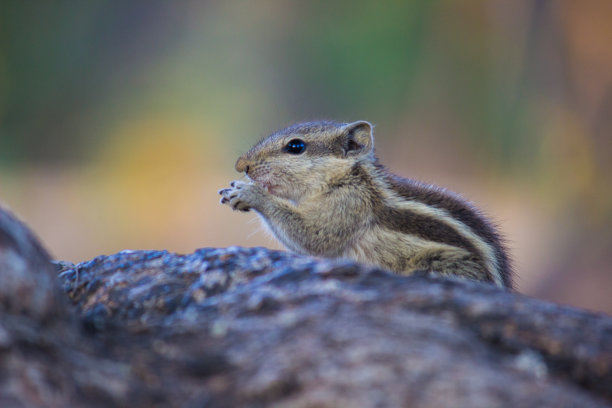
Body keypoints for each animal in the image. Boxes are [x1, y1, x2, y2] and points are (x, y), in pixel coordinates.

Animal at [220, 119, 512, 288]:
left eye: (295, 147)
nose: (241, 165)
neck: (349, 178)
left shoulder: (349, 205)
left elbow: (314, 238)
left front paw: (250, 194)